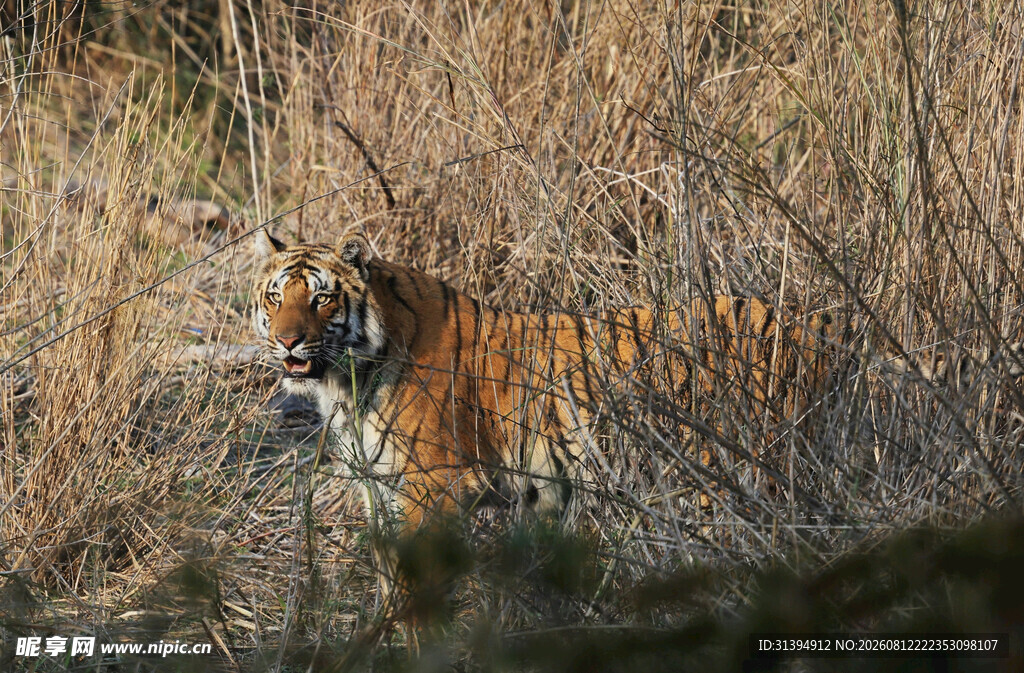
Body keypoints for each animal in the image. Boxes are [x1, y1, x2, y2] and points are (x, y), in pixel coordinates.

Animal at [251, 229, 1024, 538]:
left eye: (321, 298)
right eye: (274, 296)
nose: (287, 339)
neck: (346, 381)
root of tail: (811, 324)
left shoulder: (433, 489)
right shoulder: (380, 489)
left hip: (744, 470)